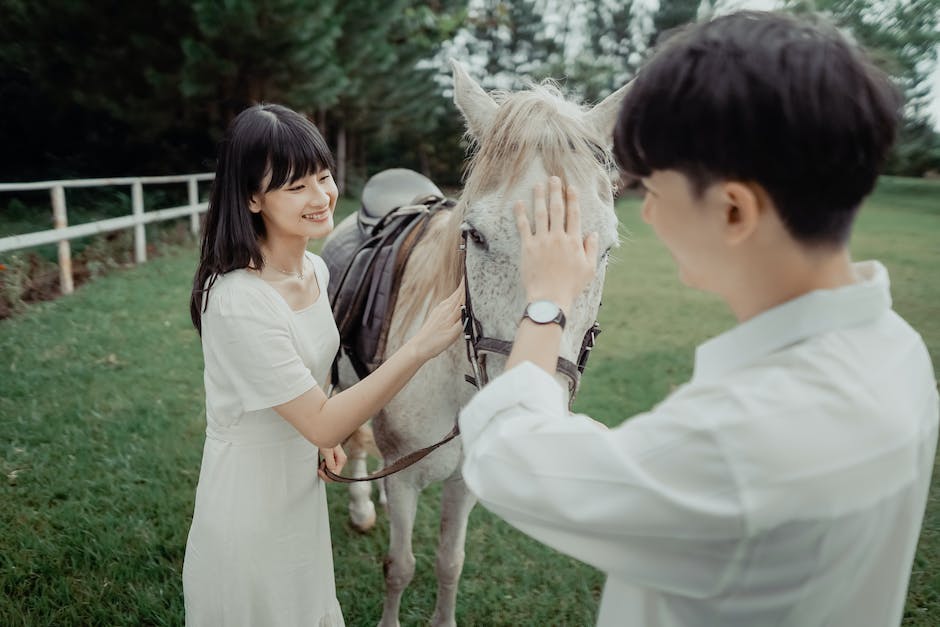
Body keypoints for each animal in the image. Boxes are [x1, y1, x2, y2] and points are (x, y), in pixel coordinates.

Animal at [328, 62, 624, 627]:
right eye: (475, 236)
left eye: (605, 249)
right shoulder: (407, 482)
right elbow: (400, 566)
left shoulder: (463, 485)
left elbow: (450, 562)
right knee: (355, 437)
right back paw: (362, 506)